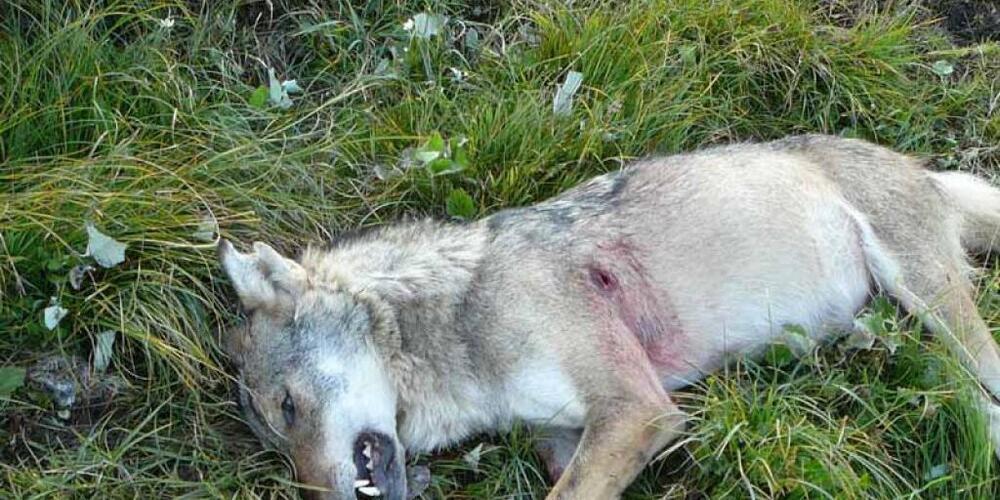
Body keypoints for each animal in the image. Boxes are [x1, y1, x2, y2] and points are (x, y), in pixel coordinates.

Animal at [218, 134, 1000, 500]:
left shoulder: (634, 408)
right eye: (274, 445)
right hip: (897, 343)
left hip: (933, 305)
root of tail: (920, 168)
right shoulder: (571, 439)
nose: (313, 494)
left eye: (287, 408)